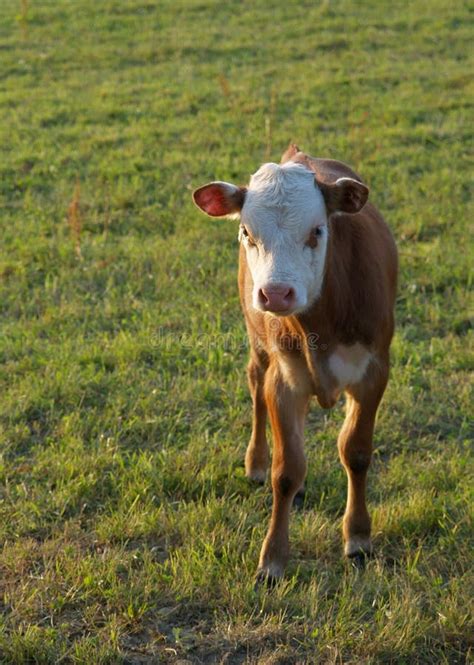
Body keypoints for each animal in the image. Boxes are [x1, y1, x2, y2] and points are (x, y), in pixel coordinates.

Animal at [192, 144, 398, 585]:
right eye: (247, 232)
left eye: (317, 231)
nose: (276, 293)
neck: (321, 322)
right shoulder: (284, 380)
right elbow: (285, 472)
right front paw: (272, 559)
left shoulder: (373, 373)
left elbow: (356, 451)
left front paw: (358, 538)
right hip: (257, 341)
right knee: (255, 385)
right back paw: (256, 462)